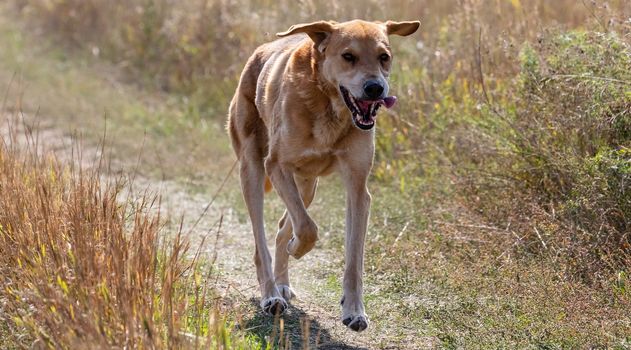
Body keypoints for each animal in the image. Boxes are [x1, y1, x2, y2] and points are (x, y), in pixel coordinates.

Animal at [227, 19, 420, 334]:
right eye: (348, 56)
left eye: (384, 57)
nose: (375, 88)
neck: (330, 106)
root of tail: (259, 52)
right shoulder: (276, 166)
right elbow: (307, 228)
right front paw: (297, 248)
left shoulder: (358, 188)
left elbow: (353, 259)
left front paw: (354, 311)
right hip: (253, 170)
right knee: (262, 241)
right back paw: (271, 295)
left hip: (306, 185)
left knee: (282, 226)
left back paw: (282, 284)